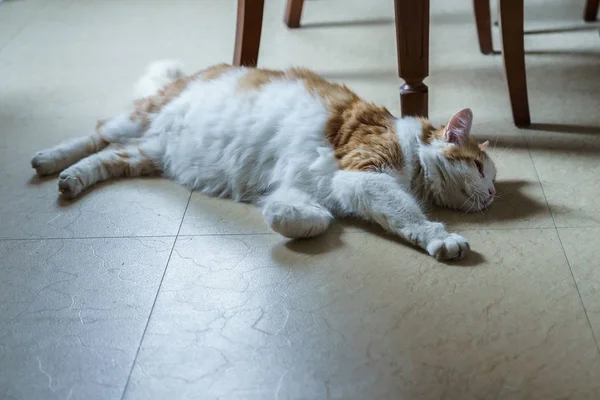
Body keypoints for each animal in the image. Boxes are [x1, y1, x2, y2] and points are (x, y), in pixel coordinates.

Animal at [30, 59, 496, 260]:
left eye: (491, 178)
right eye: (478, 168)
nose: (492, 194)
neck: (410, 147)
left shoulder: (314, 186)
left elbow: (306, 216)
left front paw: (288, 218)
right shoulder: (364, 175)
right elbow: (412, 217)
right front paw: (443, 240)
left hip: (144, 153)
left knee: (104, 158)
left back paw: (70, 180)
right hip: (134, 120)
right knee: (94, 134)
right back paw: (49, 160)